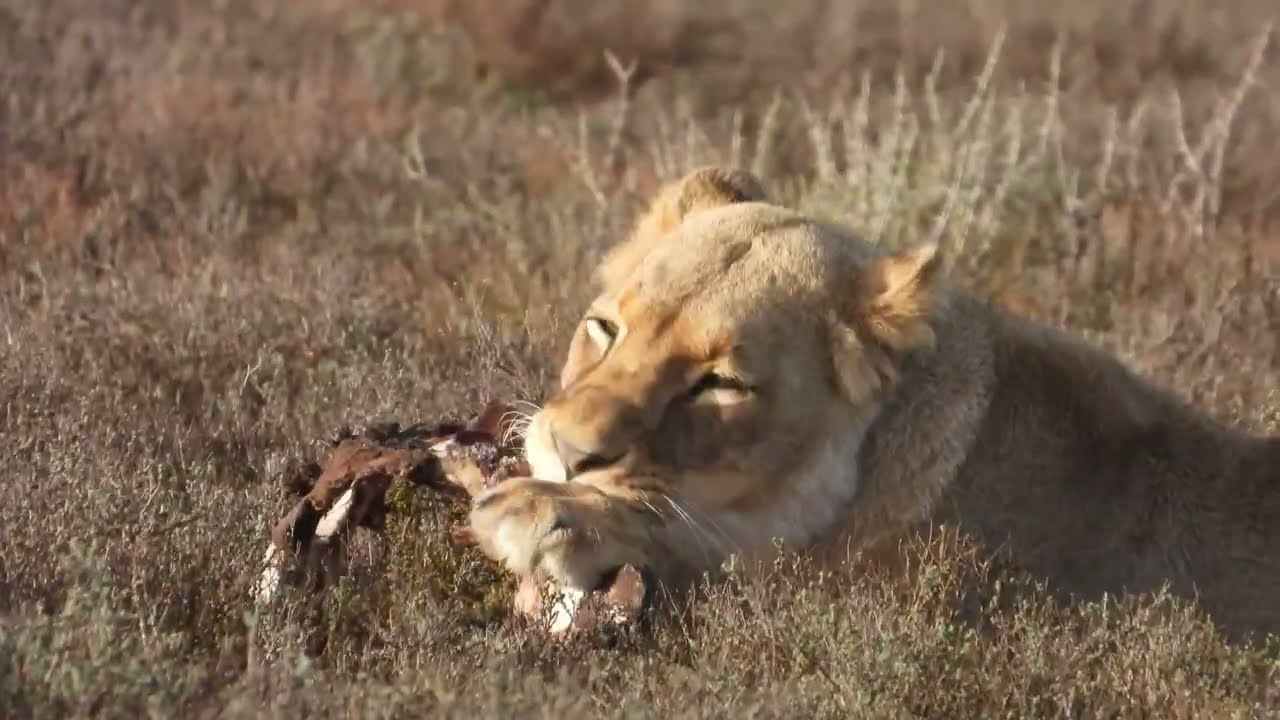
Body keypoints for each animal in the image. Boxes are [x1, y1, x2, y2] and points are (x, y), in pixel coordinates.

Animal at [467, 166, 1280, 640]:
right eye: (605, 329)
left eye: (719, 384)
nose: (567, 454)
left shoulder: (884, 600)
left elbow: (701, 547)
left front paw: (545, 513)